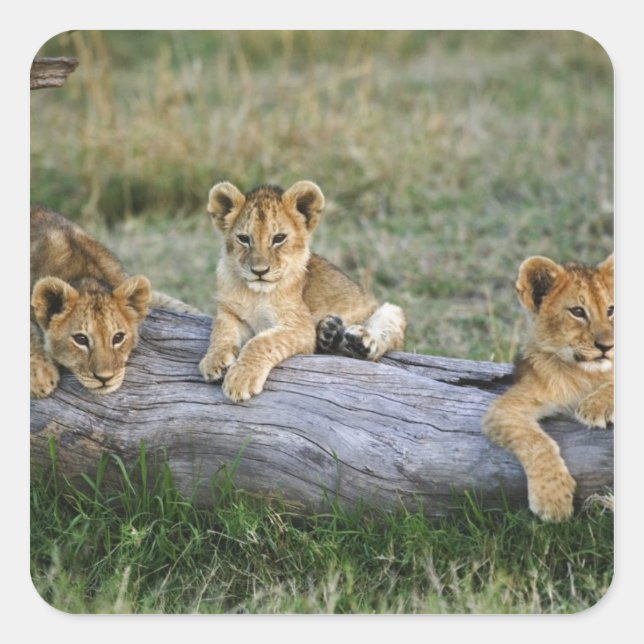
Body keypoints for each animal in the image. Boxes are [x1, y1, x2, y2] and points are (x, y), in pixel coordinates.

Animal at [30, 205, 199, 398]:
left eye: (118, 338)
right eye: (80, 339)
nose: (105, 378)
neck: (84, 274)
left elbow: (181, 306)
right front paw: (40, 375)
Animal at [199, 181, 407, 402]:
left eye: (279, 238)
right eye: (244, 238)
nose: (259, 271)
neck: (255, 293)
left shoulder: (300, 327)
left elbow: (261, 342)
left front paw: (240, 379)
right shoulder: (229, 312)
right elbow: (220, 331)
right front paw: (213, 361)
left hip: (390, 310)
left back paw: (359, 341)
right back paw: (329, 332)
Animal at [482, 253, 614, 521]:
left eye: (611, 310)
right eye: (577, 311)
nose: (607, 346)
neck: (584, 373)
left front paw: (596, 406)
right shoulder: (505, 408)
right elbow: (537, 442)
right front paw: (552, 499)